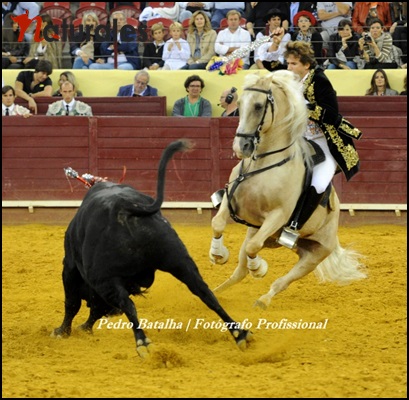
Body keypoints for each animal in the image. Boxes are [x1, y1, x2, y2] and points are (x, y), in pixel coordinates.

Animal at [52, 140, 250, 356]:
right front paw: (82, 328)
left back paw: (142, 343)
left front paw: (63, 331)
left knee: (127, 305)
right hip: (180, 262)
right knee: (206, 294)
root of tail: (127, 206)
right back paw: (239, 334)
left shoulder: (71, 267)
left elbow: (73, 303)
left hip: (103, 278)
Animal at [209, 71, 364, 310]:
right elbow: (217, 223)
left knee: (281, 281)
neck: (263, 162)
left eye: (258, 106)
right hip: (270, 237)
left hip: (314, 255)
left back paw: (263, 300)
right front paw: (218, 255)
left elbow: (254, 247)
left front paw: (259, 269)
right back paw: (213, 294)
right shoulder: (230, 200)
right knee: (239, 271)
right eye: (240, 104)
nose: (240, 147)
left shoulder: (278, 216)